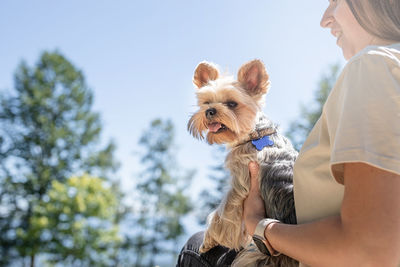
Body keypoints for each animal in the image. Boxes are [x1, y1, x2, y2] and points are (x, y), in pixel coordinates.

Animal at [189, 59, 298, 266]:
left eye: (232, 104)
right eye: (206, 102)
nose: (209, 111)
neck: (255, 134)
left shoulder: (240, 183)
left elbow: (223, 213)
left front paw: (208, 240)